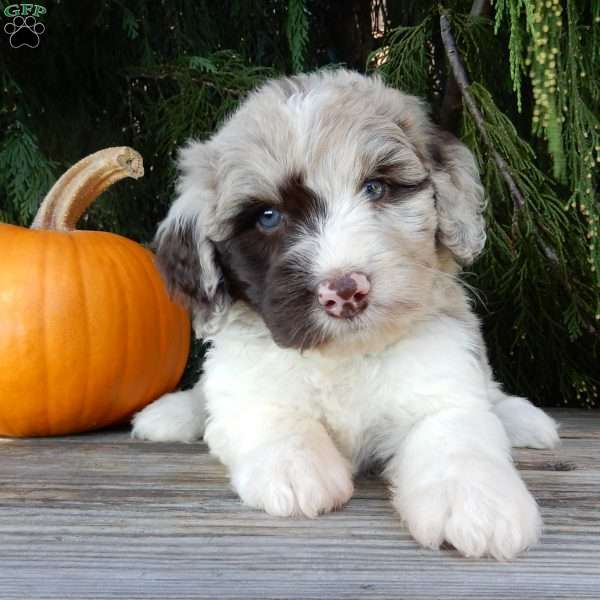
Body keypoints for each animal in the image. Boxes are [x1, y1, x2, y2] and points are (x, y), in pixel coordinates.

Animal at [132, 70, 556, 564]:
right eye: (268, 216)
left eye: (376, 188)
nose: (345, 291)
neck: (345, 356)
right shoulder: (245, 386)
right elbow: (269, 414)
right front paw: (296, 467)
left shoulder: (443, 378)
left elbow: (456, 434)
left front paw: (478, 503)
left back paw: (523, 419)